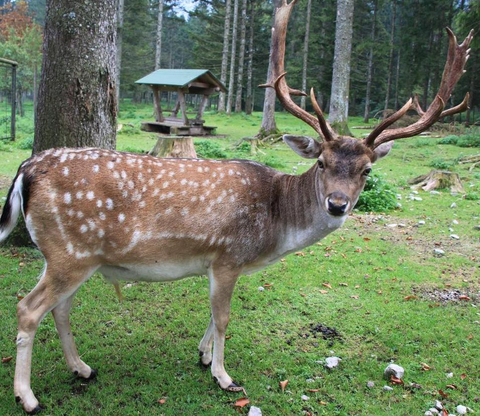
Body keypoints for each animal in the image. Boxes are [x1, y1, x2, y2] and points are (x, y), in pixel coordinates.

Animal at [0, 0, 472, 412]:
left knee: (59, 308)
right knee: (28, 308)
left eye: (367, 170)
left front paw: (204, 356)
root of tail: (27, 168)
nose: (337, 204)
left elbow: (214, 317)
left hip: (70, 254)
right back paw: (28, 397)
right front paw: (225, 377)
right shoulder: (227, 253)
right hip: (70, 252)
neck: (274, 229)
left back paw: (81, 368)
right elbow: (225, 317)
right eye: (321, 161)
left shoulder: (222, 262)